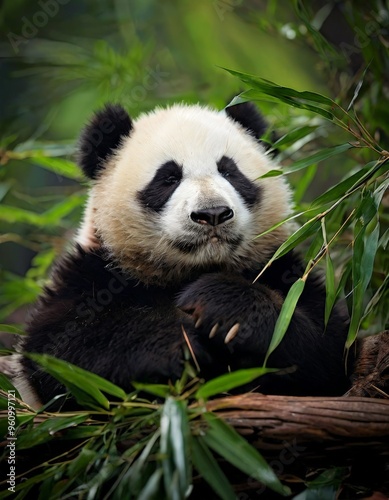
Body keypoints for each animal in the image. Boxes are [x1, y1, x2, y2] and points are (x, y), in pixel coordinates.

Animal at [16, 100, 354, 406]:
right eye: (168, 178)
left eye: (229, 172)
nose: (212, 213)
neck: (193, 268)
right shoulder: (95, 272)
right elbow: (60, 350)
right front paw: (179, 348)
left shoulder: (281, 266)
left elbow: (326, 349)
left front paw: (226, 307)